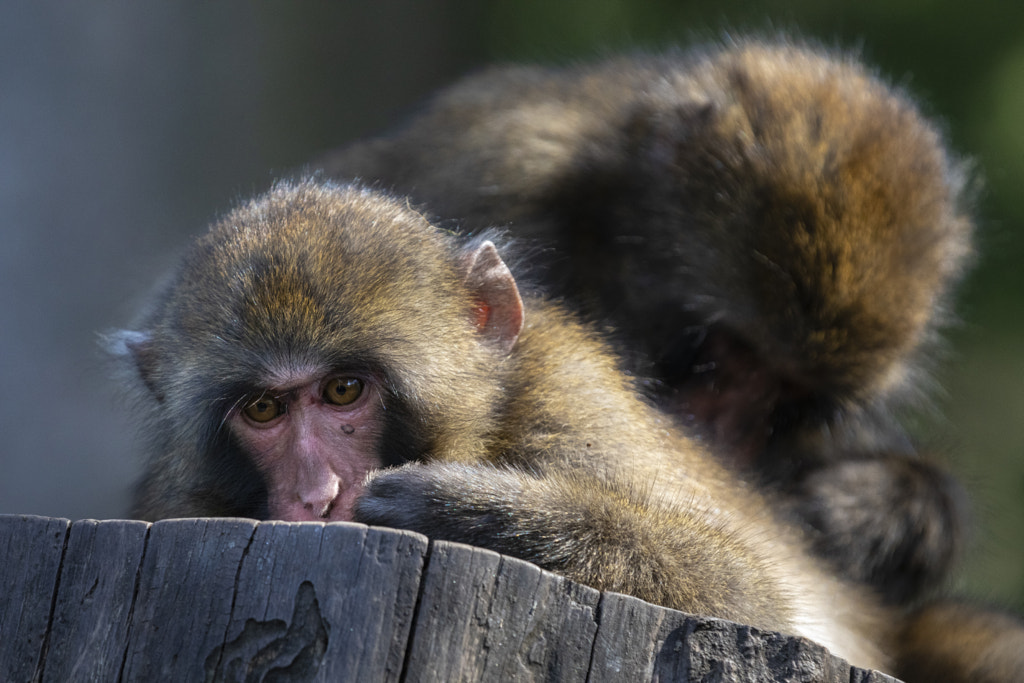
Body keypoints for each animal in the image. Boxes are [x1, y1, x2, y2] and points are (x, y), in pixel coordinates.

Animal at [113, 178, 892, 672]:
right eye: (264, 409)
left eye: (343, 390)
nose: (315, 493)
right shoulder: (178, 502)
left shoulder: (573, 400)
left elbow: (748, 597)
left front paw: (453, 505)